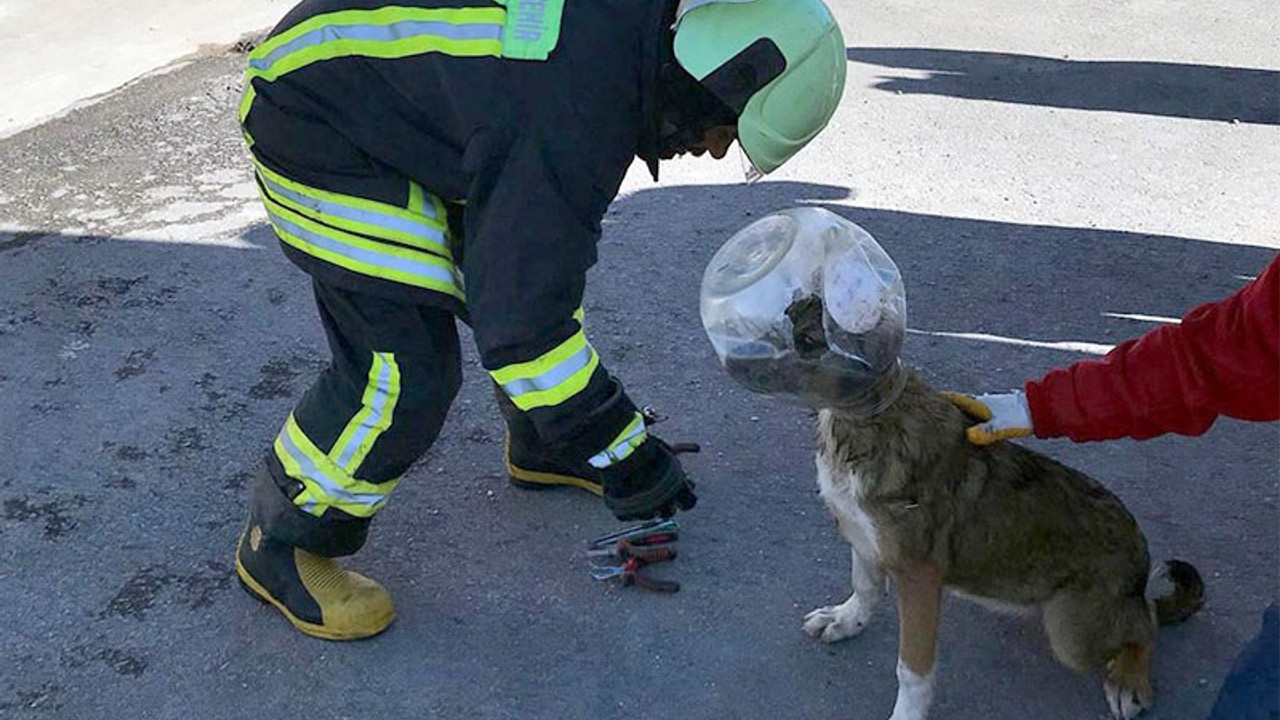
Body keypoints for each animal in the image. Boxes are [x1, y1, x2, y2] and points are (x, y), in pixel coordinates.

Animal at [798, 363, 1198, 717]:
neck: (864, 421)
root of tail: (1139, 551)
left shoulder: (919, 577)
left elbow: (912, 671)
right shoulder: (860, 533)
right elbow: (864, 588)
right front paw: (845, 620)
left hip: (1072, 635)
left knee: (1146, 622)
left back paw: (1129, 680)